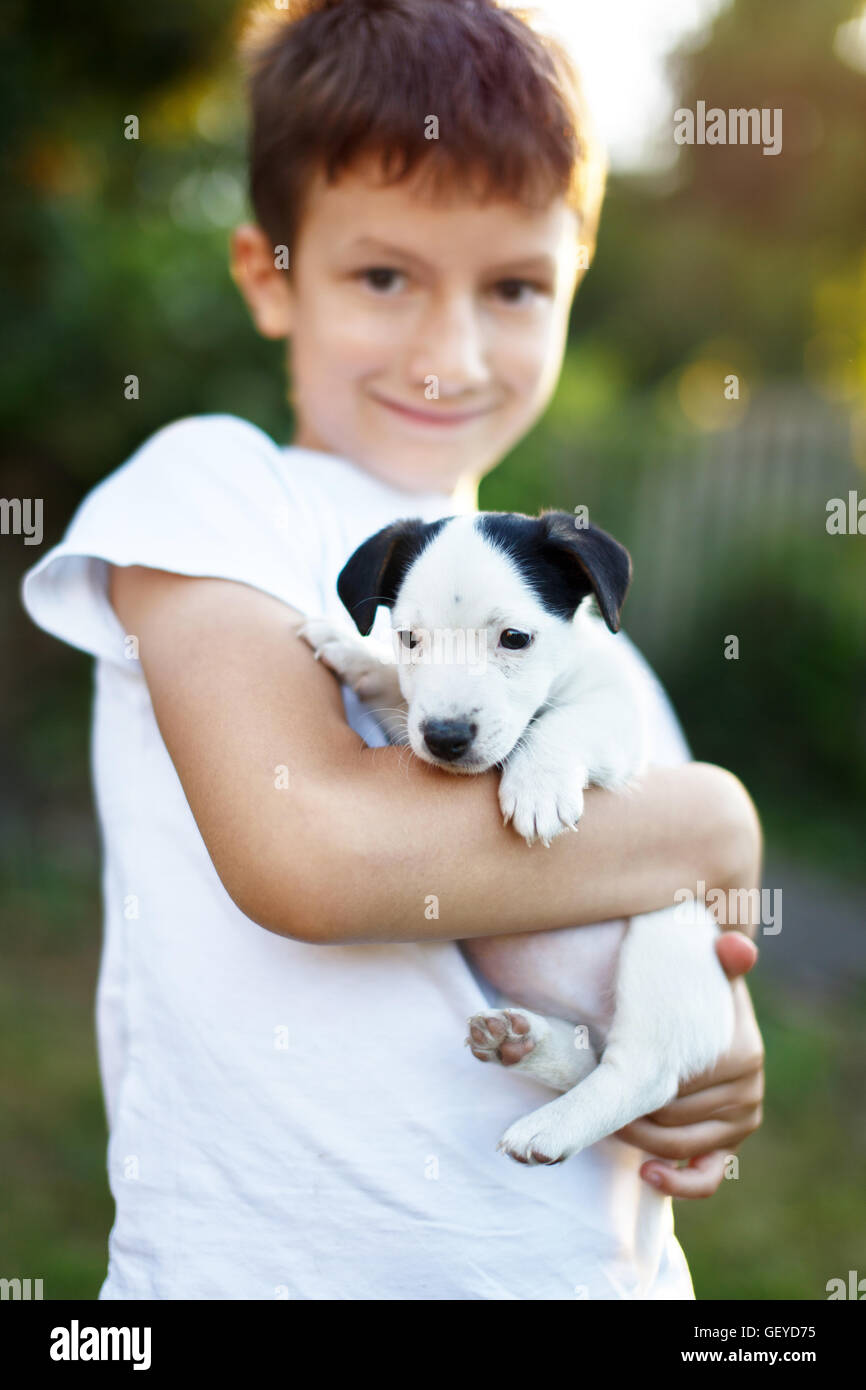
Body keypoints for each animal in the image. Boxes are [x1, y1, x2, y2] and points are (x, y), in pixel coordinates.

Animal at [296, 511, 733, 1162]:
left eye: (515, 639)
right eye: (408, 639)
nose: (446, 738)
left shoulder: (621, 722)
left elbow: (566, 722)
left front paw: (538, 783)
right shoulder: (412, 718)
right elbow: (399, 694)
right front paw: (355, 653)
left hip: (670, 932)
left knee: (642, 1071)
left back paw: (550, 1127)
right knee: (590, 1058)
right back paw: (525, 1047)